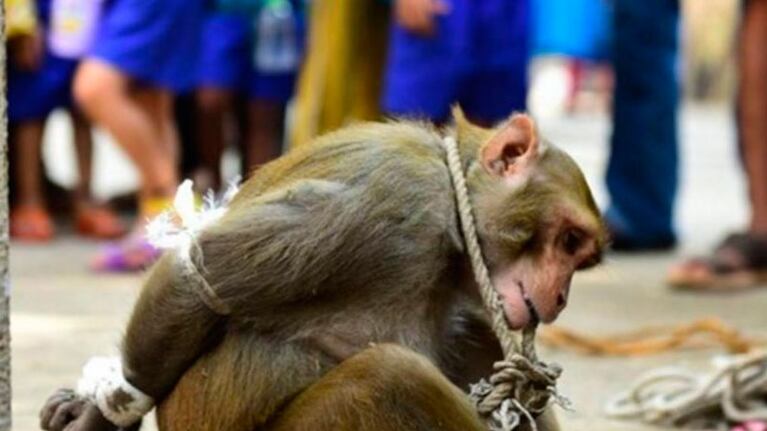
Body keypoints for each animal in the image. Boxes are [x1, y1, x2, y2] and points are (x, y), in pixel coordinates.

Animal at [40, 108, 606, 431]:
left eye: (581, 258)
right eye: (569, 240)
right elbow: (195, 274)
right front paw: (100, 415)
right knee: (392, 376)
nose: (560, 296)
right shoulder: (391, 200)